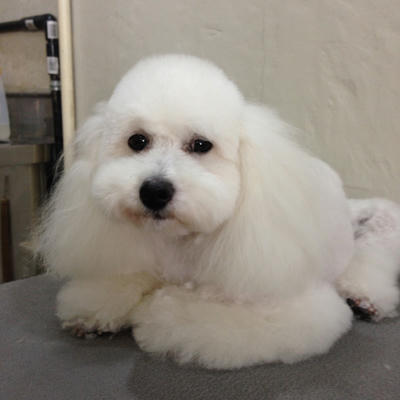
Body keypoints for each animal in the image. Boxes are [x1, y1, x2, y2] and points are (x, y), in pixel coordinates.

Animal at [37, 54, 400, 369]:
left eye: (201, 145)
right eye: (137, 141)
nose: (154, 191)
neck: (180, 246)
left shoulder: (293, 306)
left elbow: (195, 317)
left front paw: (158, 315)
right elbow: (123, 279)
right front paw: (92, 310)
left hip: (382, 231)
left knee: (368, 267)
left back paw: (365, 300)